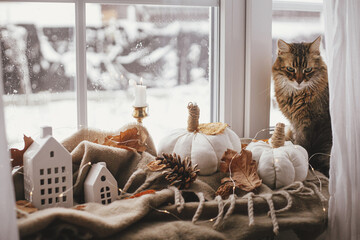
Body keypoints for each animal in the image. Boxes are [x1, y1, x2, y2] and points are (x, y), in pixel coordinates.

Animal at [272, 37, 332, 176]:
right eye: (290, 69)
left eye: (308, 70)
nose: (299, 81)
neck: (296, 96)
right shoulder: (295, 124)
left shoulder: (307, 125)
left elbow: (302, 146)